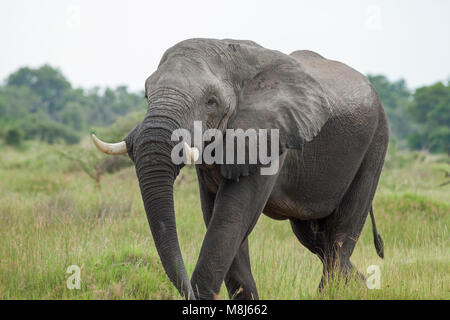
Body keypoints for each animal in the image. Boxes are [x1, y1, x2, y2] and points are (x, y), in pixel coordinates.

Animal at [91, 38, 386, 300]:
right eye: (146, 94)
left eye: (211, 101)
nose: (189, 295)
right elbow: (219, 218)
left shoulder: (268, 136)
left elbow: (231, 217)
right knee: (315, 239)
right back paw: (363, 285)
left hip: (376, 143)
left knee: (340, 235)